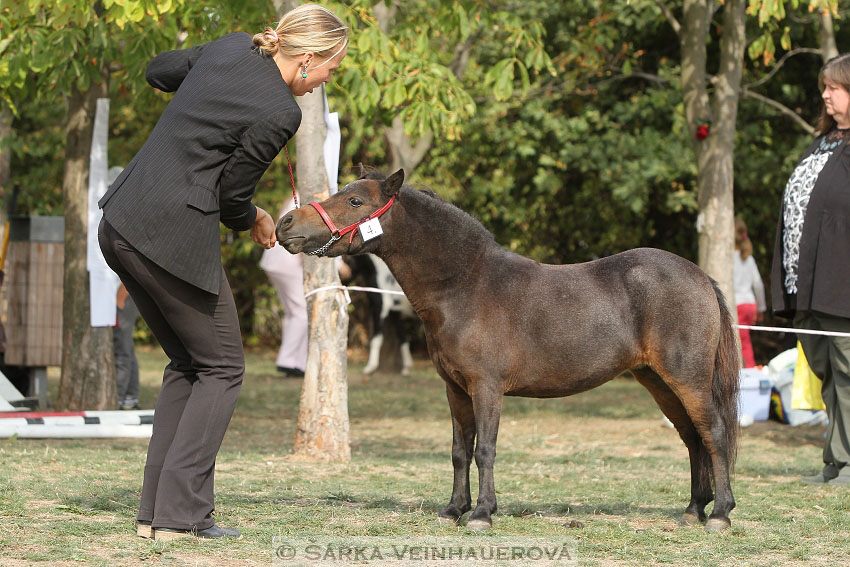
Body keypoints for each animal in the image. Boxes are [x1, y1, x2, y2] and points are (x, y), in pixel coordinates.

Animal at [276, 169, 736, 532]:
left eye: (355, 200)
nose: (285, 223)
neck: (465, 284)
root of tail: (699, 276)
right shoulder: (455, 389)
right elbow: (460, 451)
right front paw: (453, 510)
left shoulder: (486, 388)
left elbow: (485, 450)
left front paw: (482, 514)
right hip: (658, 381)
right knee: (693, 438)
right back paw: (693, 510)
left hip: (688, 379)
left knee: (713, 433)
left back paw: (719, 515)